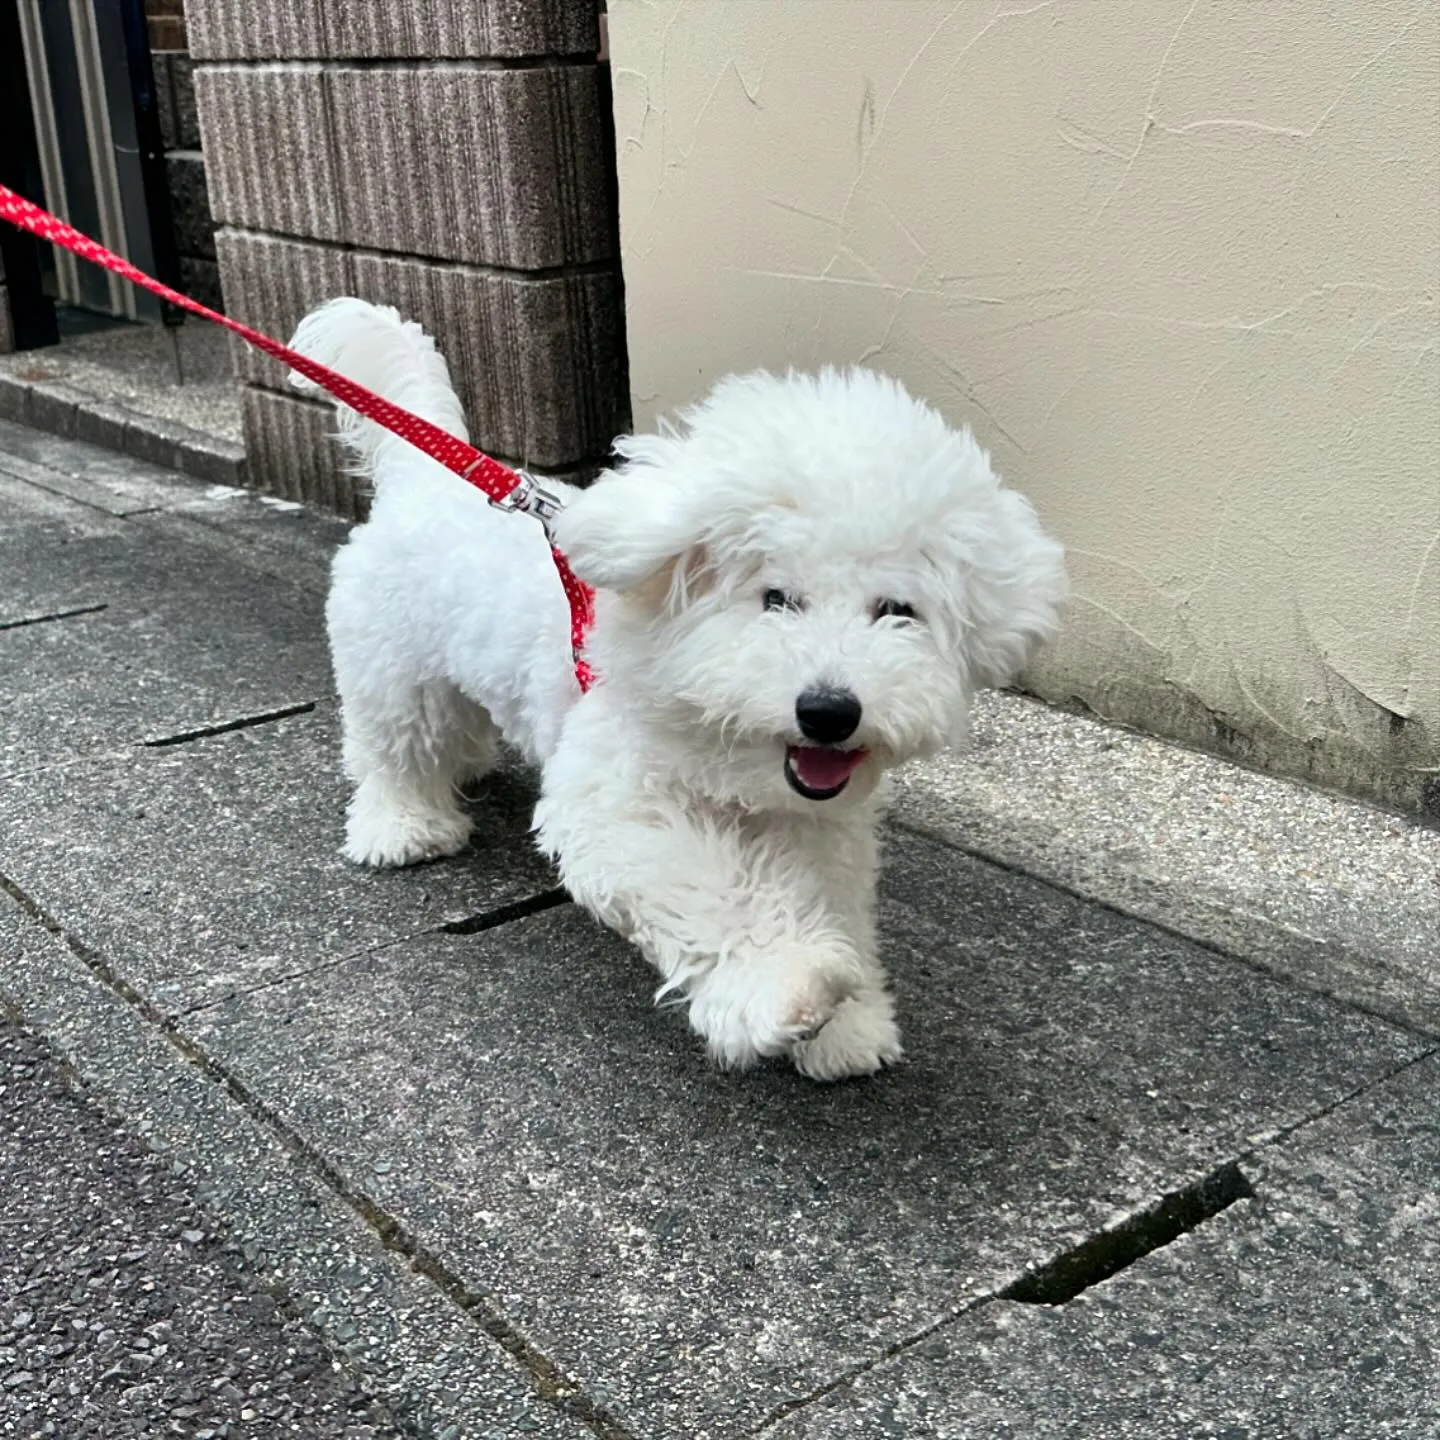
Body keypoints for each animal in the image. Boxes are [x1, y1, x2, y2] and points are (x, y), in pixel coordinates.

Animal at [286, 298, 1065, 1077]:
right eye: (775, 597)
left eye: (897, 610)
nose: (829, 711)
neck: (728, 751)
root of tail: (426, 478)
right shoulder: (618, 803)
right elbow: (712, 887)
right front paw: (782, 989)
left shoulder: (817, 828)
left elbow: (828, 902)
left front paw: (847, 1029)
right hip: (393, 672)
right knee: (394, 751)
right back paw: (405, 829)